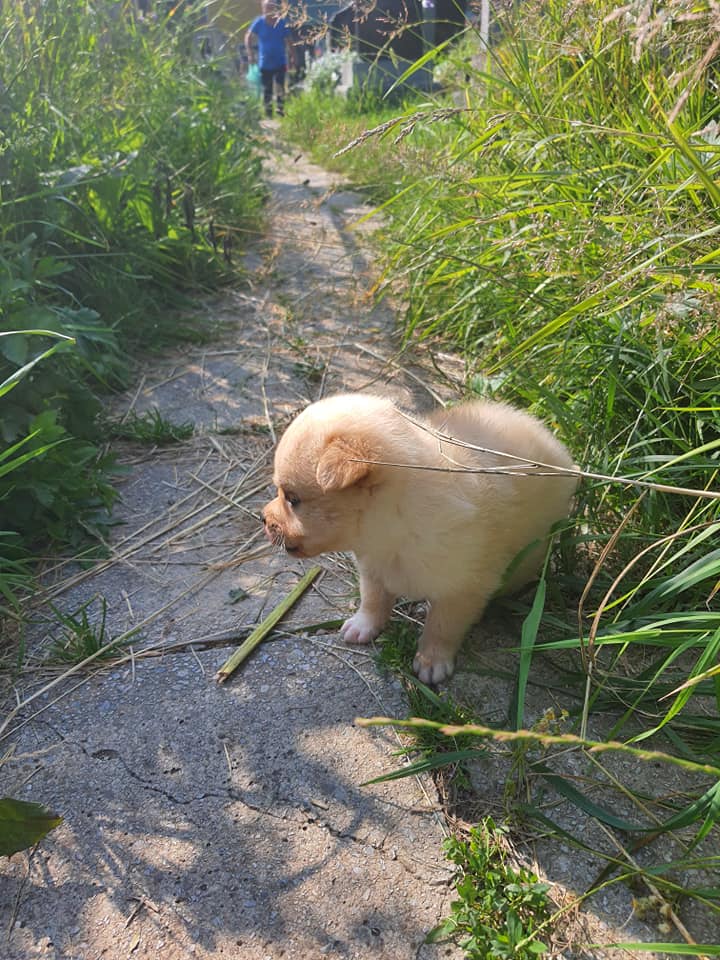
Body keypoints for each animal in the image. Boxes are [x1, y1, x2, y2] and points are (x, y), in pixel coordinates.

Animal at [262, 394, 576, 688]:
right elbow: (372, 599)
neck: (394, 530)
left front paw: (431, 660)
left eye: (292, 499)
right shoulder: (373, 567)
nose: (264, 519)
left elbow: (441, 626)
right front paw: (363, 626)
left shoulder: (462, 588)